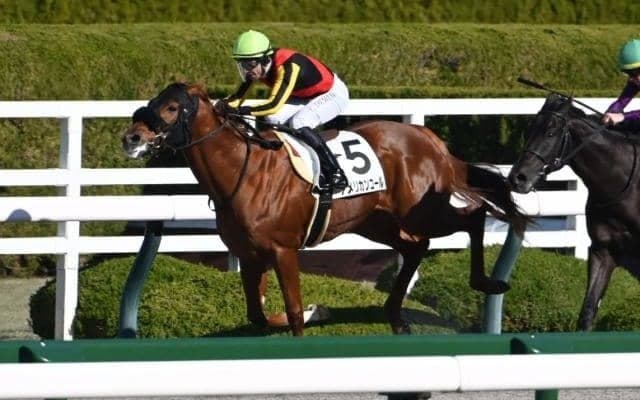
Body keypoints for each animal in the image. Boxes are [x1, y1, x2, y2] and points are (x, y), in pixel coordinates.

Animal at [122, 82, 529, 336]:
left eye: (172, 106)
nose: (131, 137)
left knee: (473, 217)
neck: (242, 170)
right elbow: (257, 314)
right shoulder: (250, 255)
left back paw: (486, 281)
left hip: (423, 211)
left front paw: (312, 314)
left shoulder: (283, 250)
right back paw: (395, 316)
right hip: (375, 222)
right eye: (155, 100)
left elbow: (294, 312)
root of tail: (428, 138)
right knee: (416, 248)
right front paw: (320, 310)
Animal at [508, 92, 640, 331]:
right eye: (530, 129)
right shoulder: (603, 251)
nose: (517, 178)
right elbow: (587, 311)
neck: (625, 183)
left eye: (550, 131)